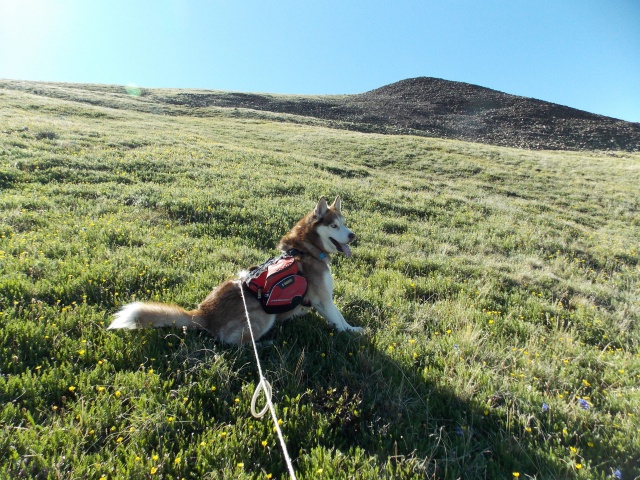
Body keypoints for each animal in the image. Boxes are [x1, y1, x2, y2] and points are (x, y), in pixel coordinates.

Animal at [107, 196, 362, 344]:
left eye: (344, 223)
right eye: (334, 226)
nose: (353, 235)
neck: (306, 249)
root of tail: (204, 314)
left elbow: (339, 318)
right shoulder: (322, 299)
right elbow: (340, 322)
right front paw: (353, 331)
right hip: (261, 314)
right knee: (237, 344)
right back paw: (264, 344)